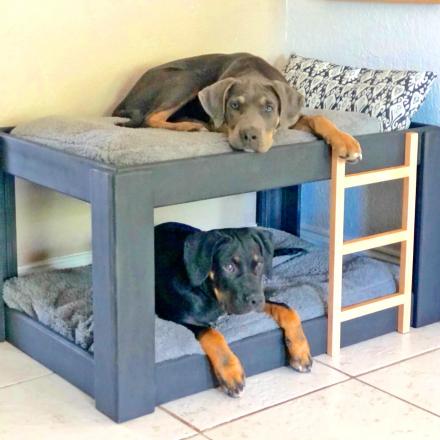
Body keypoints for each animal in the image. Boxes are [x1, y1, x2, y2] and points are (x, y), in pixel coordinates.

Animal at [113, 52, 360, 162]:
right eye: (233, 105)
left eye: (269, 108)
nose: (250, 136)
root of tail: (125, 100)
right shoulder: (219, 120)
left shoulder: (287, 120)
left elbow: (318, 117)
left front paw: (346, 142)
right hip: (188, 78)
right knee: (151, 117)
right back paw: (190, 127)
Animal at [156, 222, 312, 398]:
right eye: (228, 267)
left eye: (259, 264)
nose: (256, 300)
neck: (209, 293)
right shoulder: (180, 318)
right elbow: (213, 334)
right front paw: (231, 373)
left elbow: (288, 309)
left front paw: (301, 351)